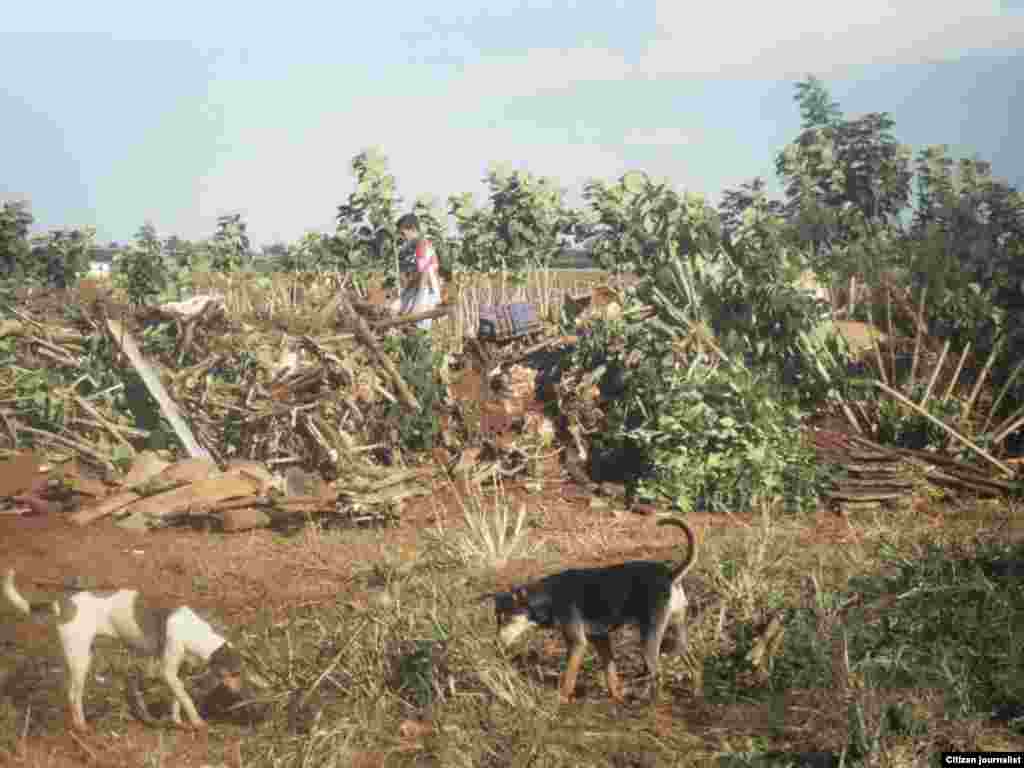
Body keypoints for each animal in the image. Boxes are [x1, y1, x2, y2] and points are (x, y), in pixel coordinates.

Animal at [491, 520, 700, 708]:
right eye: (498, 620)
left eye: (508, 619)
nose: (496, 645)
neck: (548, 596)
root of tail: (670, 575)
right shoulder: (601, 638)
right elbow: (610, 673)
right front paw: (617, 698)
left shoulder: (578, 644)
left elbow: (569, 676)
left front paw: (561, 699)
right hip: (675, 627)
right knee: (691, 661)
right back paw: (696, 693)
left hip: (649, 639)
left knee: (658, 674)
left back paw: (652, 704)